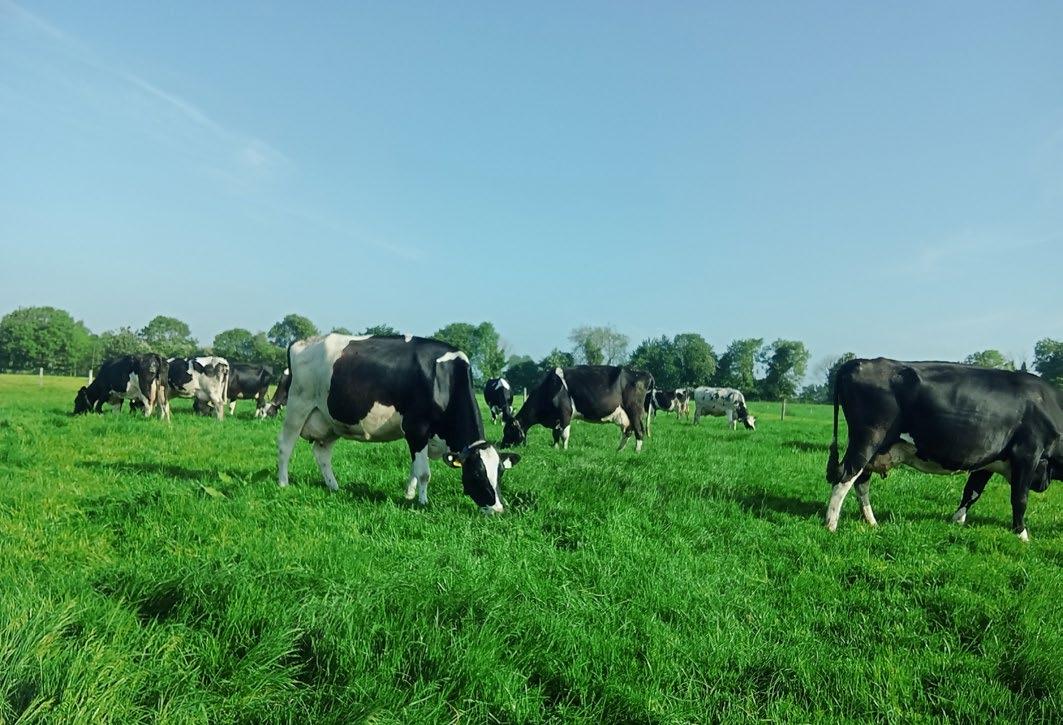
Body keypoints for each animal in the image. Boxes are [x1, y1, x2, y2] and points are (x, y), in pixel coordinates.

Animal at [277, 333, 520, 513]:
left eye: (500, 473)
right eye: (477, 473)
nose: (498, 509)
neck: (443, 379)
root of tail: (301, 343)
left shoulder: (420, 436)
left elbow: (414, 467)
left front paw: (409, 494)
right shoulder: (417, 429)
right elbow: (423, 472)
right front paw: (422, 502)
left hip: (330, 420)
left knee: (322, 454)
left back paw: (334, 486)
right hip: (298, 406)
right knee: (285, 446)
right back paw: (283, 483)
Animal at [501, 365, 654, 452]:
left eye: (508, 431)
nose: (502, 446)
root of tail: (643, 373)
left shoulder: (565, 414)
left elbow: (563, 434)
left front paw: (563, 450)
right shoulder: (557, 419)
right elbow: (557, 434)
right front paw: (557, 449)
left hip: (634, 410)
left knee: (639, 430)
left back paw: (636, 451)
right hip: (626, 415)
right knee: (628, 431)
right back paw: (619, 450)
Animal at [825, 358, 1063, 541]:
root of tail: (857, 362)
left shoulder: (987, 462)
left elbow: (972, 492)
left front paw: (957, 521)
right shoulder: (1028, 454)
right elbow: (1019, 498)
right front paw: (1022, 535)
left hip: (875, 450)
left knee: (861, 482)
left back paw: (871, 522)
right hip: (867, 440)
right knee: (845, 477)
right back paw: (831, 524)